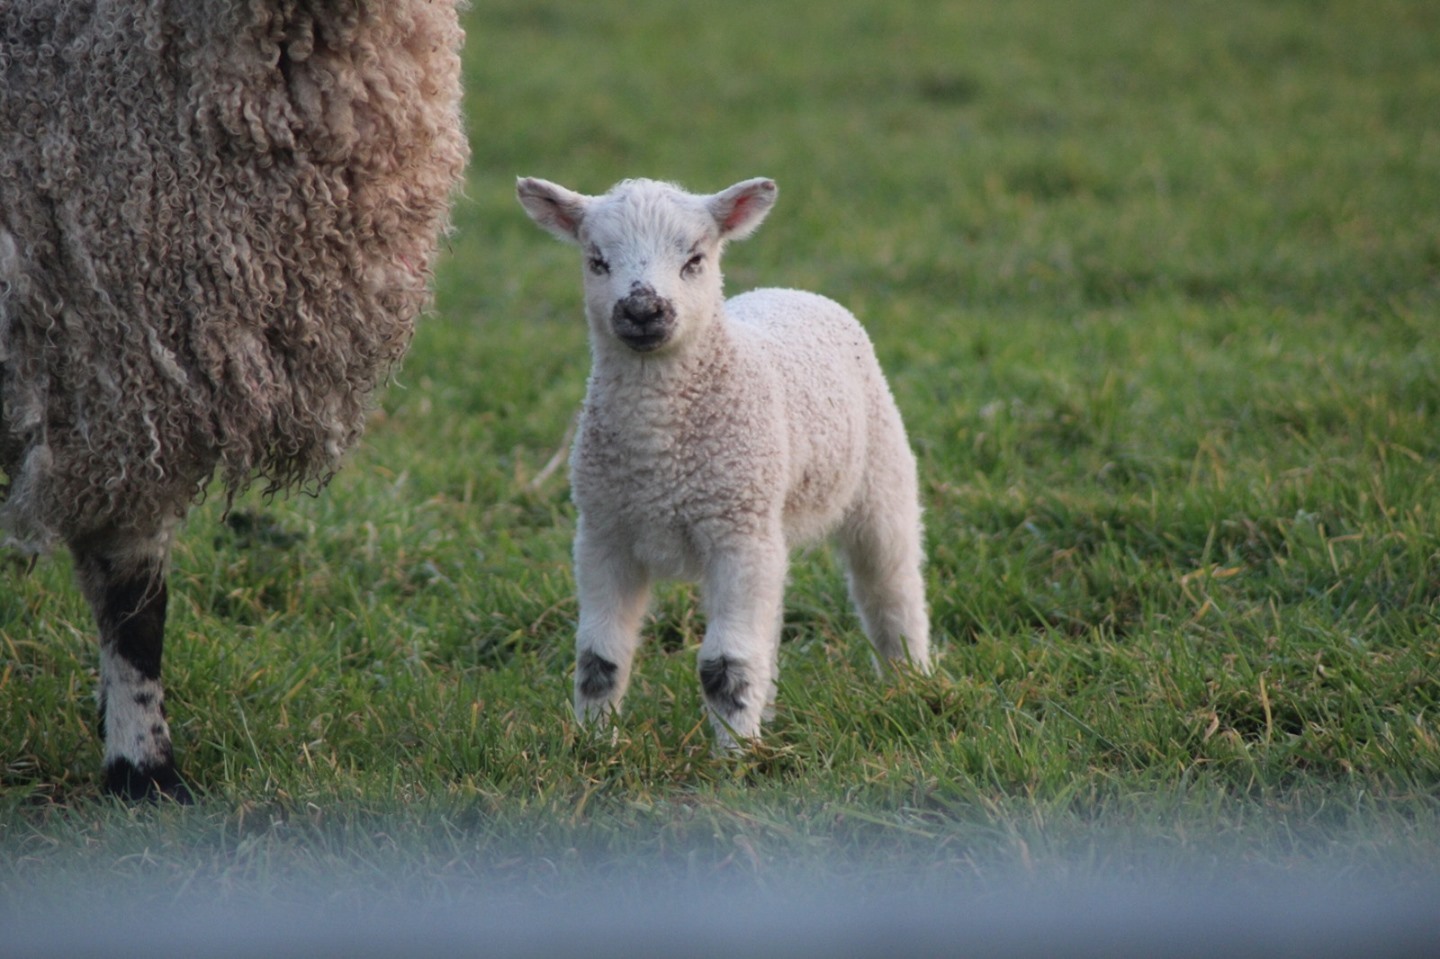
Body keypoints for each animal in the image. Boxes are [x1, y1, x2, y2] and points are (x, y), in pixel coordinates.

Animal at [517, 176, 931, 748]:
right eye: (596, 261)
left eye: (695, 259)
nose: (642, 310)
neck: (658, 455)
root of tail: (788, 291)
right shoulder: (603, 531)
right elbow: (599, 658)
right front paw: (595, 745)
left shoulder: (735, 529)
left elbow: (724, 664)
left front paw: (735, 755)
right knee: (774, 616)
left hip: (878, 472)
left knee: (891, 587)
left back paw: (911, 682)